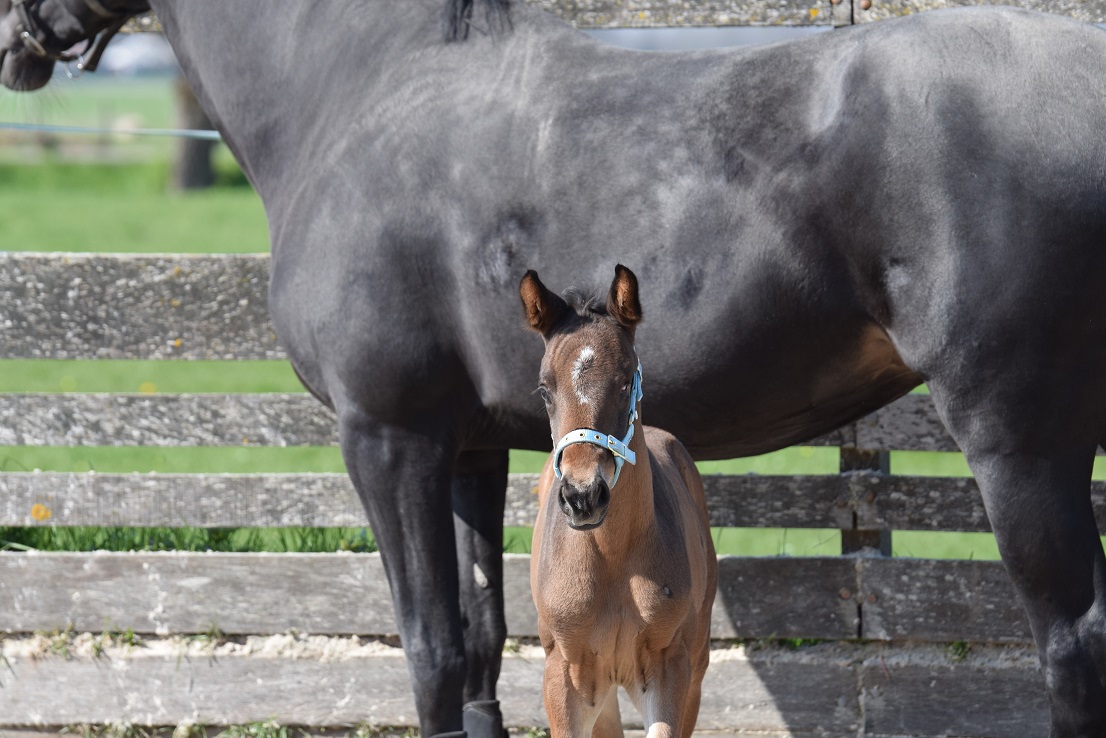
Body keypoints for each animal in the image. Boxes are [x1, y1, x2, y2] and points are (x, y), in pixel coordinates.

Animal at [517, 265, 716, 738]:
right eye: (544, 390)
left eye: (626, 382)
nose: (583, 496)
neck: (611, 559)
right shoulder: (564, 674)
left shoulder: (670, 668)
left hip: (695, 663)